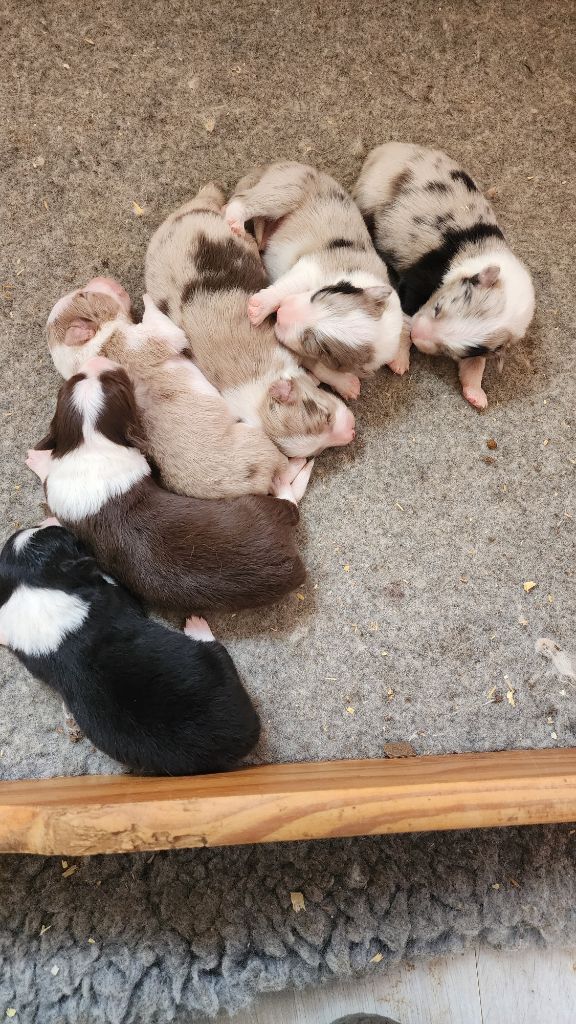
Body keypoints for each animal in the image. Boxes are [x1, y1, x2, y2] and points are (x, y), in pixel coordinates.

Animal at [0, 520, 260, 774]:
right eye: (71, 541)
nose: (53, 521)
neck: (33, 587)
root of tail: (242, 741)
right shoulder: (118, 596)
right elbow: (111, 581)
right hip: (215, 661)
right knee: (216, 648)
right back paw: (197, 625)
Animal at [25, 360, 309, 614]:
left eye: (76, 380)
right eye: (118, 382)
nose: (95, 362)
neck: (90, 444)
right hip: (254, 502)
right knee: (287, 493)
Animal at [45, 276, 286, 499]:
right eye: (83, 295)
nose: (102, 278)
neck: (84, 352)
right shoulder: (141, 340)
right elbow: (163, 328)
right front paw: (147, 298)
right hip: (255, 441)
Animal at [144, 182, 354, 458]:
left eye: (326, 415)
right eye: (318, 451)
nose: (352, 432)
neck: (262, 390)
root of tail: (190, 206)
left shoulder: (284, 342)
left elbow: (318, 365)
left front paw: (349, 384)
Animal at [222, 161, 401, 397]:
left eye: (317, 346)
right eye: (321, 295)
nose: (281, 313)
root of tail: (277, 165)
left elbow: (318, 365)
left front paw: (349, 383)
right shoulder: (313, 266)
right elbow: (287, 285)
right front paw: (258, 308)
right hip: (284, 191)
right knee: (242, 201)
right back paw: (234, 222)